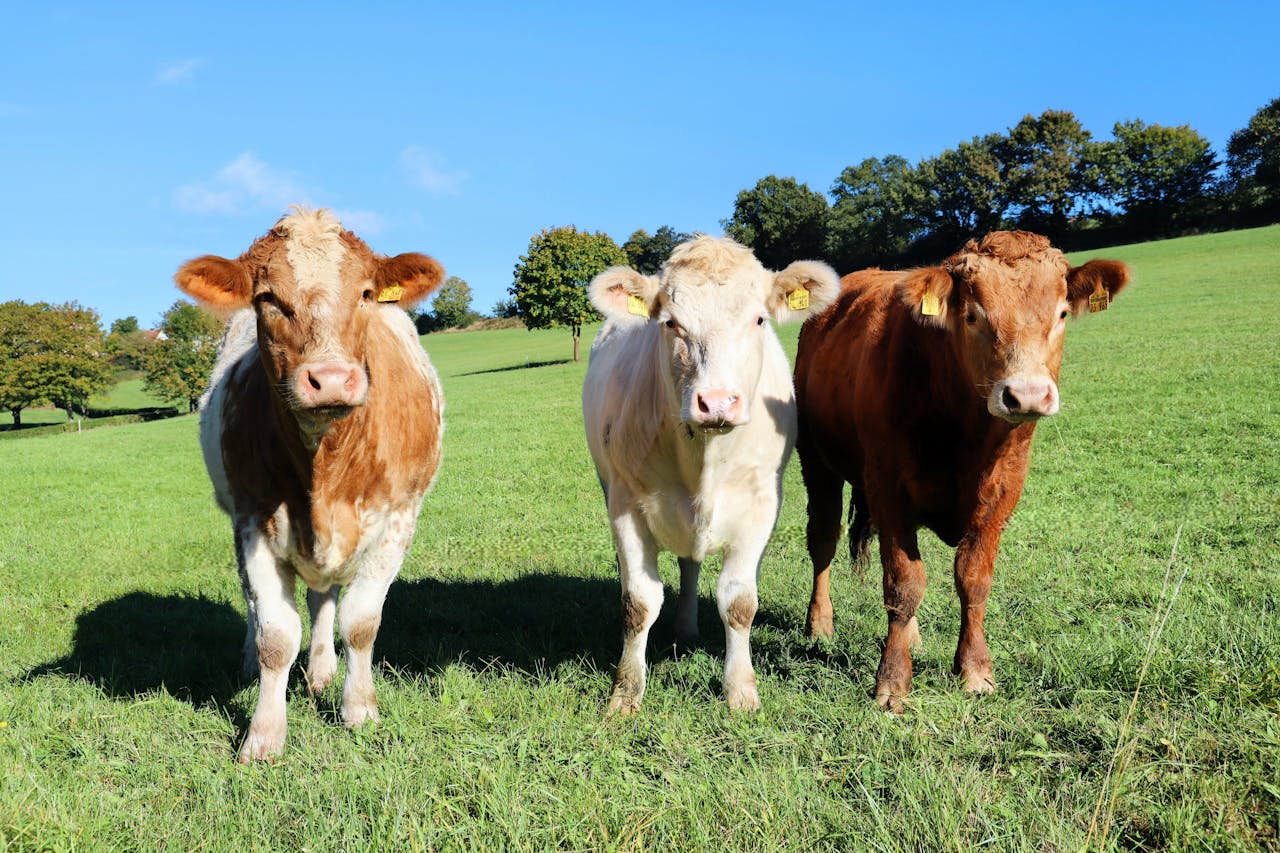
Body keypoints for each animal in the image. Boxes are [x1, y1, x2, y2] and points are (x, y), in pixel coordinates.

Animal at [176, 207, 446, 762]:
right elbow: (276, 635)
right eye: (267, 297)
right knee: (260, 608)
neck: (325, 468)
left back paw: (322, 670)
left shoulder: (397, 519)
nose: (331, 379)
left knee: (325, 600)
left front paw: (358, 710)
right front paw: (263, 735)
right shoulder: (253, 521)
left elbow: (360, 623)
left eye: (366, 293)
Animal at [583, 235, 840, 714]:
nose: (717, 402)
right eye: (670, 322)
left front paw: (740, 691)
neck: (704, 459)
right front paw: (624, 695)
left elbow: (739, 601)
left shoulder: (762, 503)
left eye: (758, 318)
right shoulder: (626, 503)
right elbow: (639, 602)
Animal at [794, 230, 1129, 711]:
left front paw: (974, 671)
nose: (1027, 395)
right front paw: (892, 682)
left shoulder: (1002, 492)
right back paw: (820, 623)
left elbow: (972, 580)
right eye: (972, 315)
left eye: (1062, 313)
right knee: (823, 539)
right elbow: (903, 583)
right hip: (816, 461)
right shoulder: (888, 487)